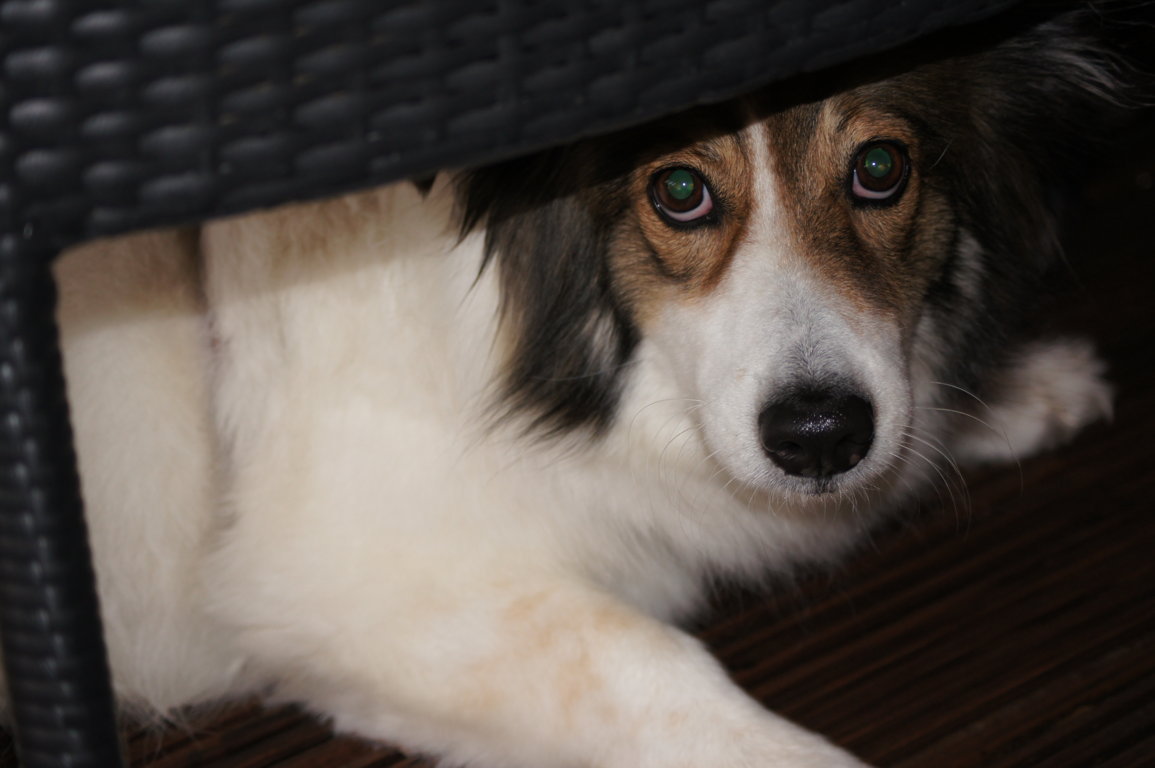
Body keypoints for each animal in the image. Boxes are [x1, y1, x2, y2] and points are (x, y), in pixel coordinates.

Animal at [31, 9, 1123, 768]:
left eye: (881, 168)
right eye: (678, 191)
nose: (819, 437)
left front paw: (1012, 390)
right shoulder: (349, 582)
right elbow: (656, 668)